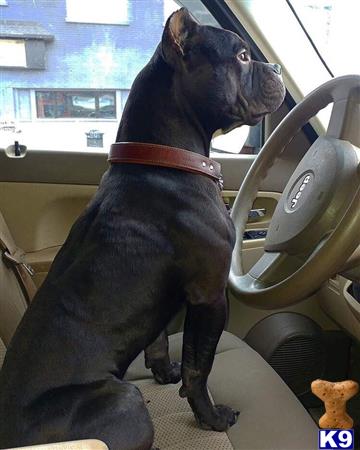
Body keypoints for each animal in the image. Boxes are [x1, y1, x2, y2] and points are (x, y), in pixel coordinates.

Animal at [0, 7, 286, 450]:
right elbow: (199, 368)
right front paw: (211, 417)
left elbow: (159, 341)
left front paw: (164, 372)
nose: (274, 67)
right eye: (241, 56)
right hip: (125, 402)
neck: (162, 159)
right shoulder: (209, 296)